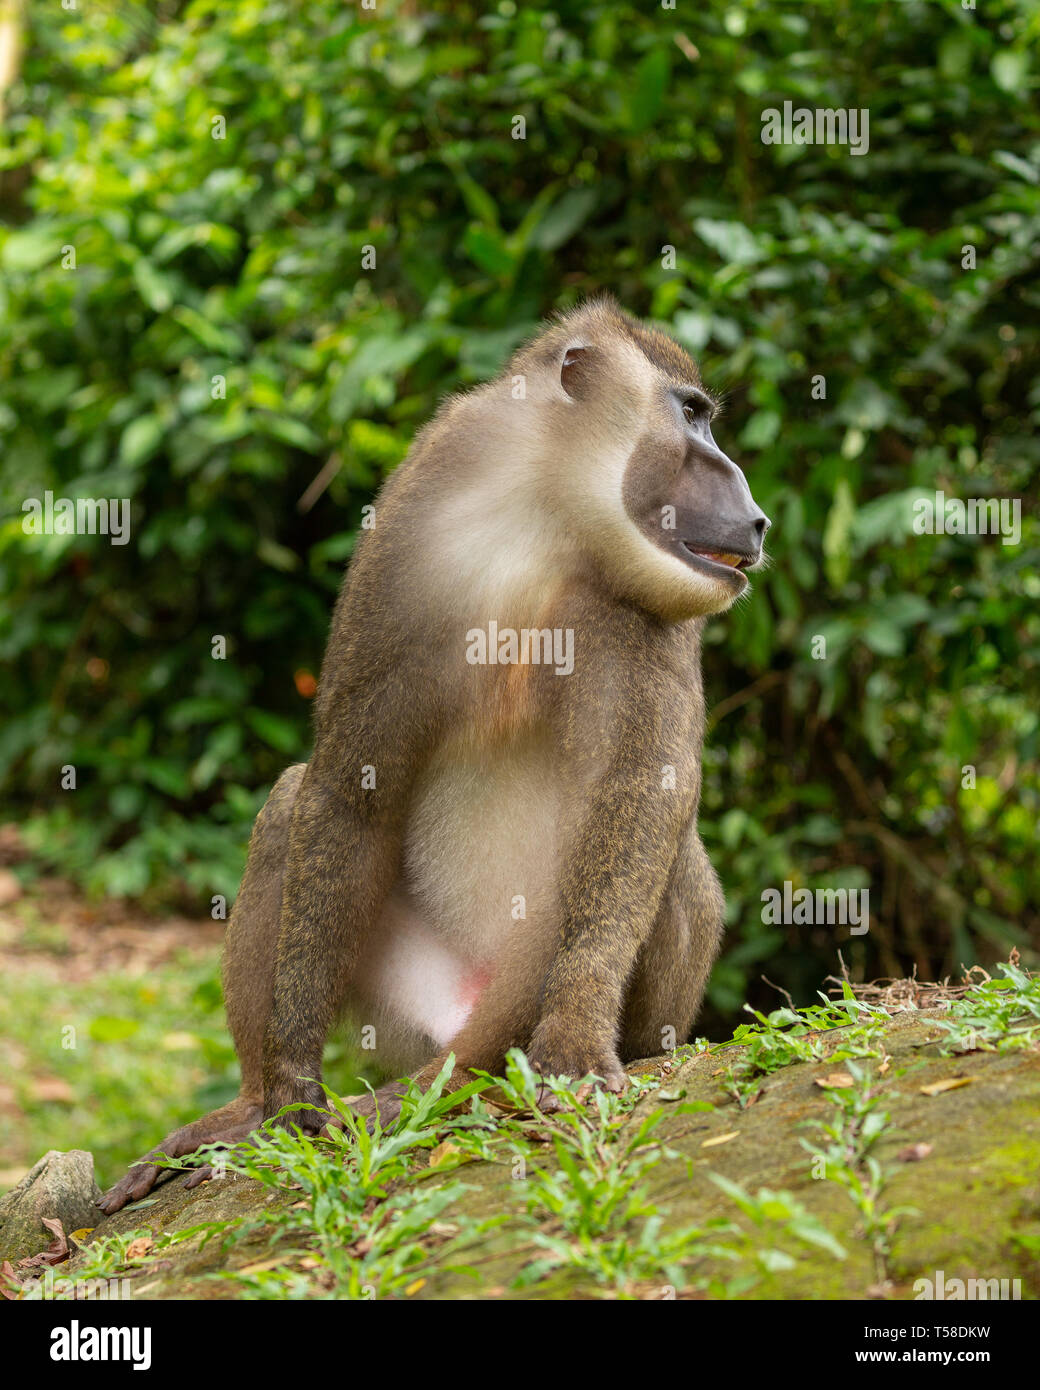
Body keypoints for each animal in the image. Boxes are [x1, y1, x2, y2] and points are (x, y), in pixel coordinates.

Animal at [98, 297, 770, 1214]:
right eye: (693, 414)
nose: (754, 510)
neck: (549, 519)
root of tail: (468, 1017)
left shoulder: (646, 613)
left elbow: (642, 790)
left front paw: (576, 1034)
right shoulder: (411, 534)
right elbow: (348, 791)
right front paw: (292, 1089)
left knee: (671, 857)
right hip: (402, 999)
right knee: (291, 801)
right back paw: (248, 1106)